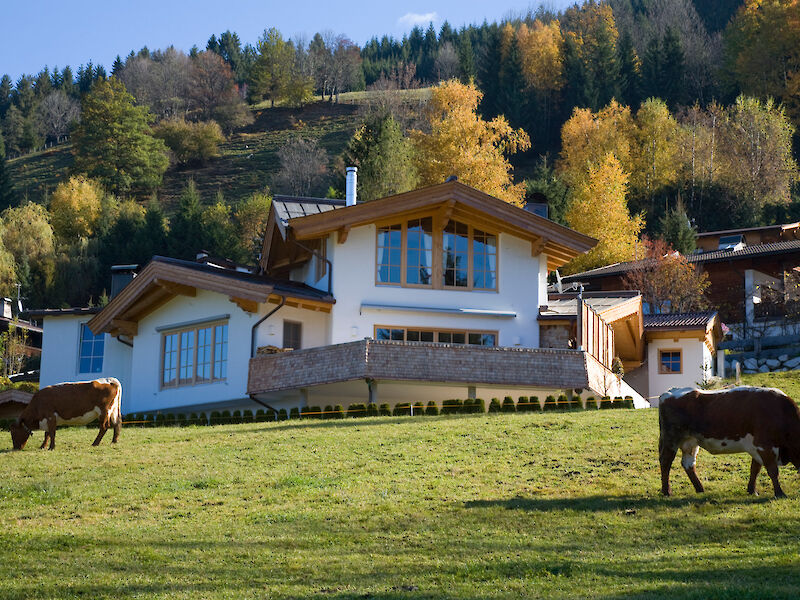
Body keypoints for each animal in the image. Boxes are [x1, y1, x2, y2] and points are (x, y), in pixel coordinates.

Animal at [656, 386, 800, 500]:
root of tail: (670, 391)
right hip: (671, 439)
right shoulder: (764, 445)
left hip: (690, 442)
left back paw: (700, 489)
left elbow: (755, 469)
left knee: (688, 464)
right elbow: (772, 471)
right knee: (665, 461)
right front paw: (780, 493)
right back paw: (667, 491)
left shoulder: (757, 448)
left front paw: (752, 490)